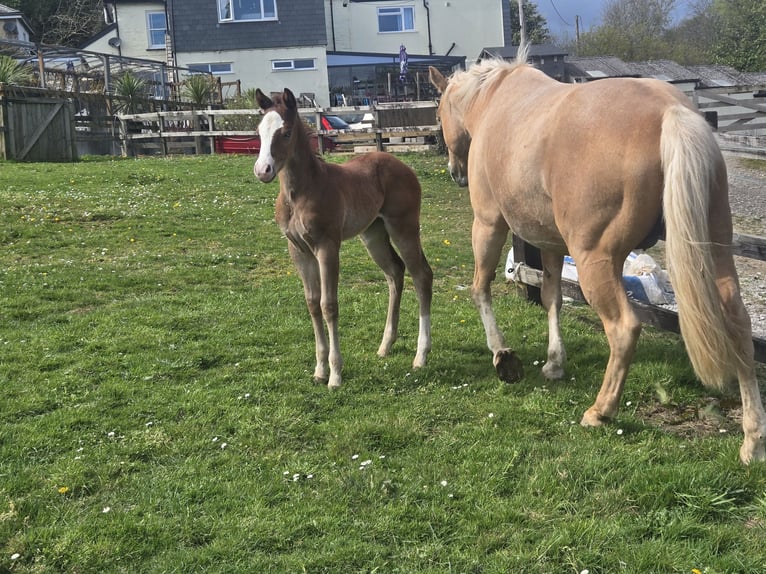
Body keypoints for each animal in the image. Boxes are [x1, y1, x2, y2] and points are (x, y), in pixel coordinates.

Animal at [253, 88, 433, 389]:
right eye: (259, 131)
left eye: (285, 133)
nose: (262, 170)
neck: (300, 193)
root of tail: (402, 165)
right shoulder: (298, 250)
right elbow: (312, 304)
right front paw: (319, 370)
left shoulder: (327, 246)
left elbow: (329, 305)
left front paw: (335, 374)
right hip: (373, 234)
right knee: (395, 272)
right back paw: (385, 345)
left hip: (404, 227)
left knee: (421, 275)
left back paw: (420, 355)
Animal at [429, 47, 766, 463]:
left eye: (438, 112)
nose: (455, 172)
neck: (494, 100)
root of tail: (669, 109)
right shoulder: (552, 244)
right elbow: (552, 298)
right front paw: (554, 363)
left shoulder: (488, 224)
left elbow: (481, 288)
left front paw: (501, 354)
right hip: (715, 248)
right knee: (738, 322)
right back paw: (752, 439)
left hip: (596, 260)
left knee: (624, 328)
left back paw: (600, 411)